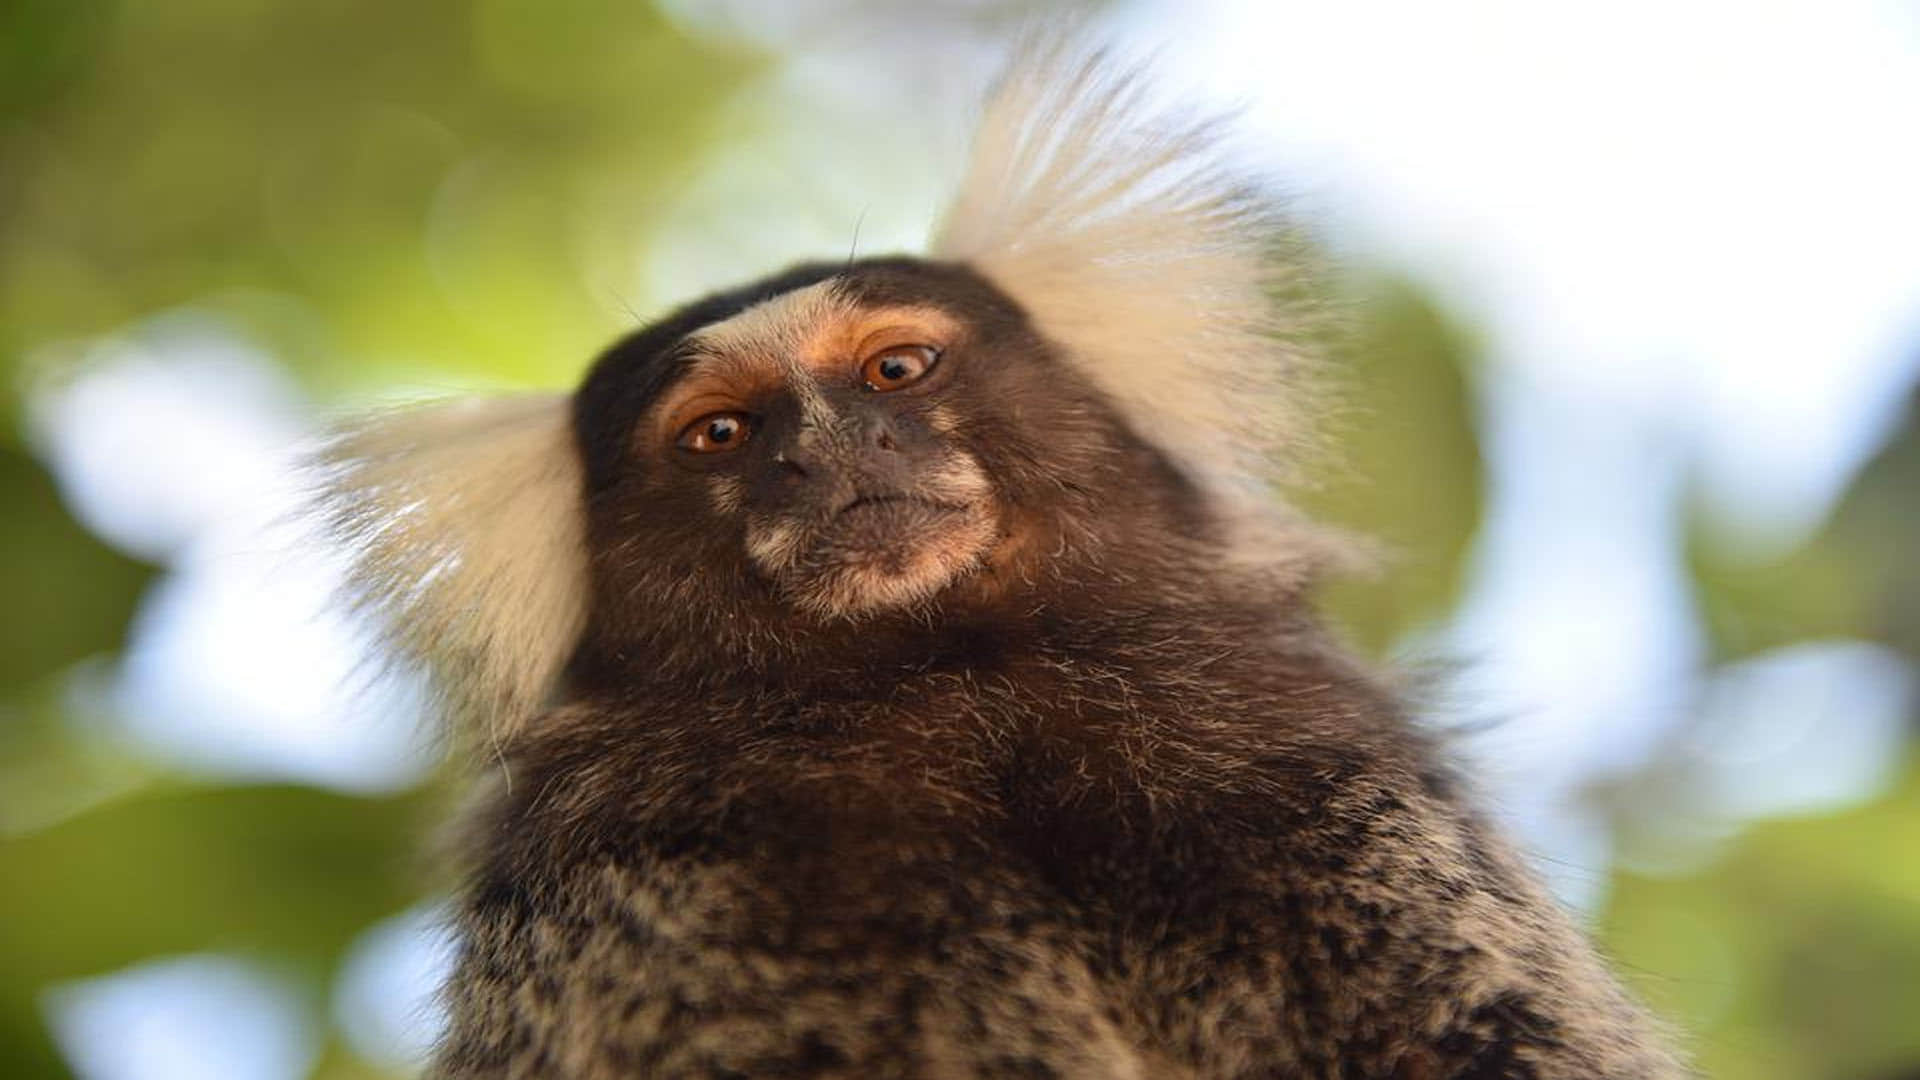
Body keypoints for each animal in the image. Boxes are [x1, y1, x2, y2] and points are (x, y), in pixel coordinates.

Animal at [319, 42, 1687, 1080]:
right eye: (723, 434)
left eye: (895, 370)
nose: (827, 451)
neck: (953, 682)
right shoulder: (646, 885)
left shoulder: (1312, 769)